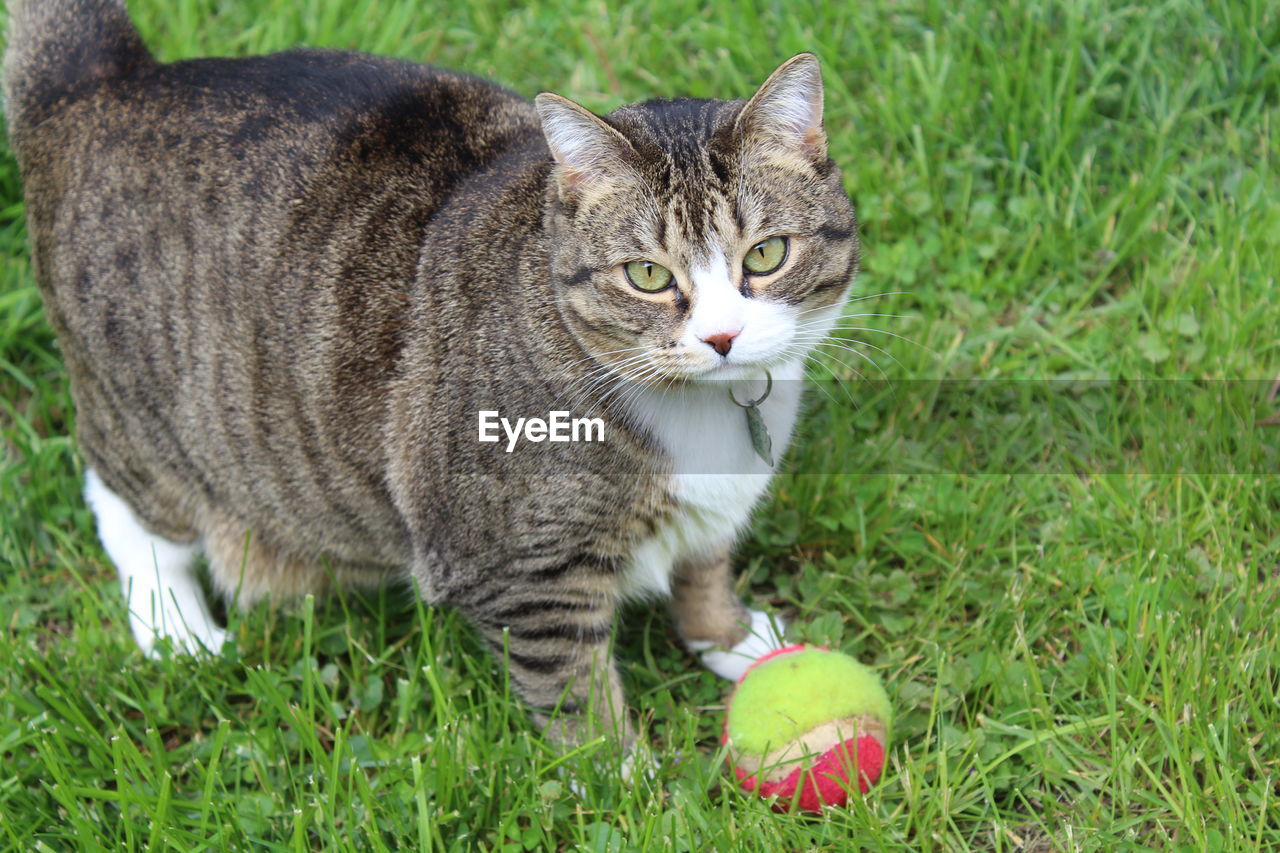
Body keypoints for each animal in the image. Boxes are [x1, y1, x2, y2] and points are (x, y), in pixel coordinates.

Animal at [5, 0, 860, 742]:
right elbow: (574, 692)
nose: (721, 335)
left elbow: (705, 568)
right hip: (151, 423)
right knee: (124, 505)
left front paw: (734, 639)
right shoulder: (523, 570)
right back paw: (177, 627)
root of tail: (103, 81)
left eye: (766, 255)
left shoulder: (713, 514)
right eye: (647, 275)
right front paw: (622, 782)